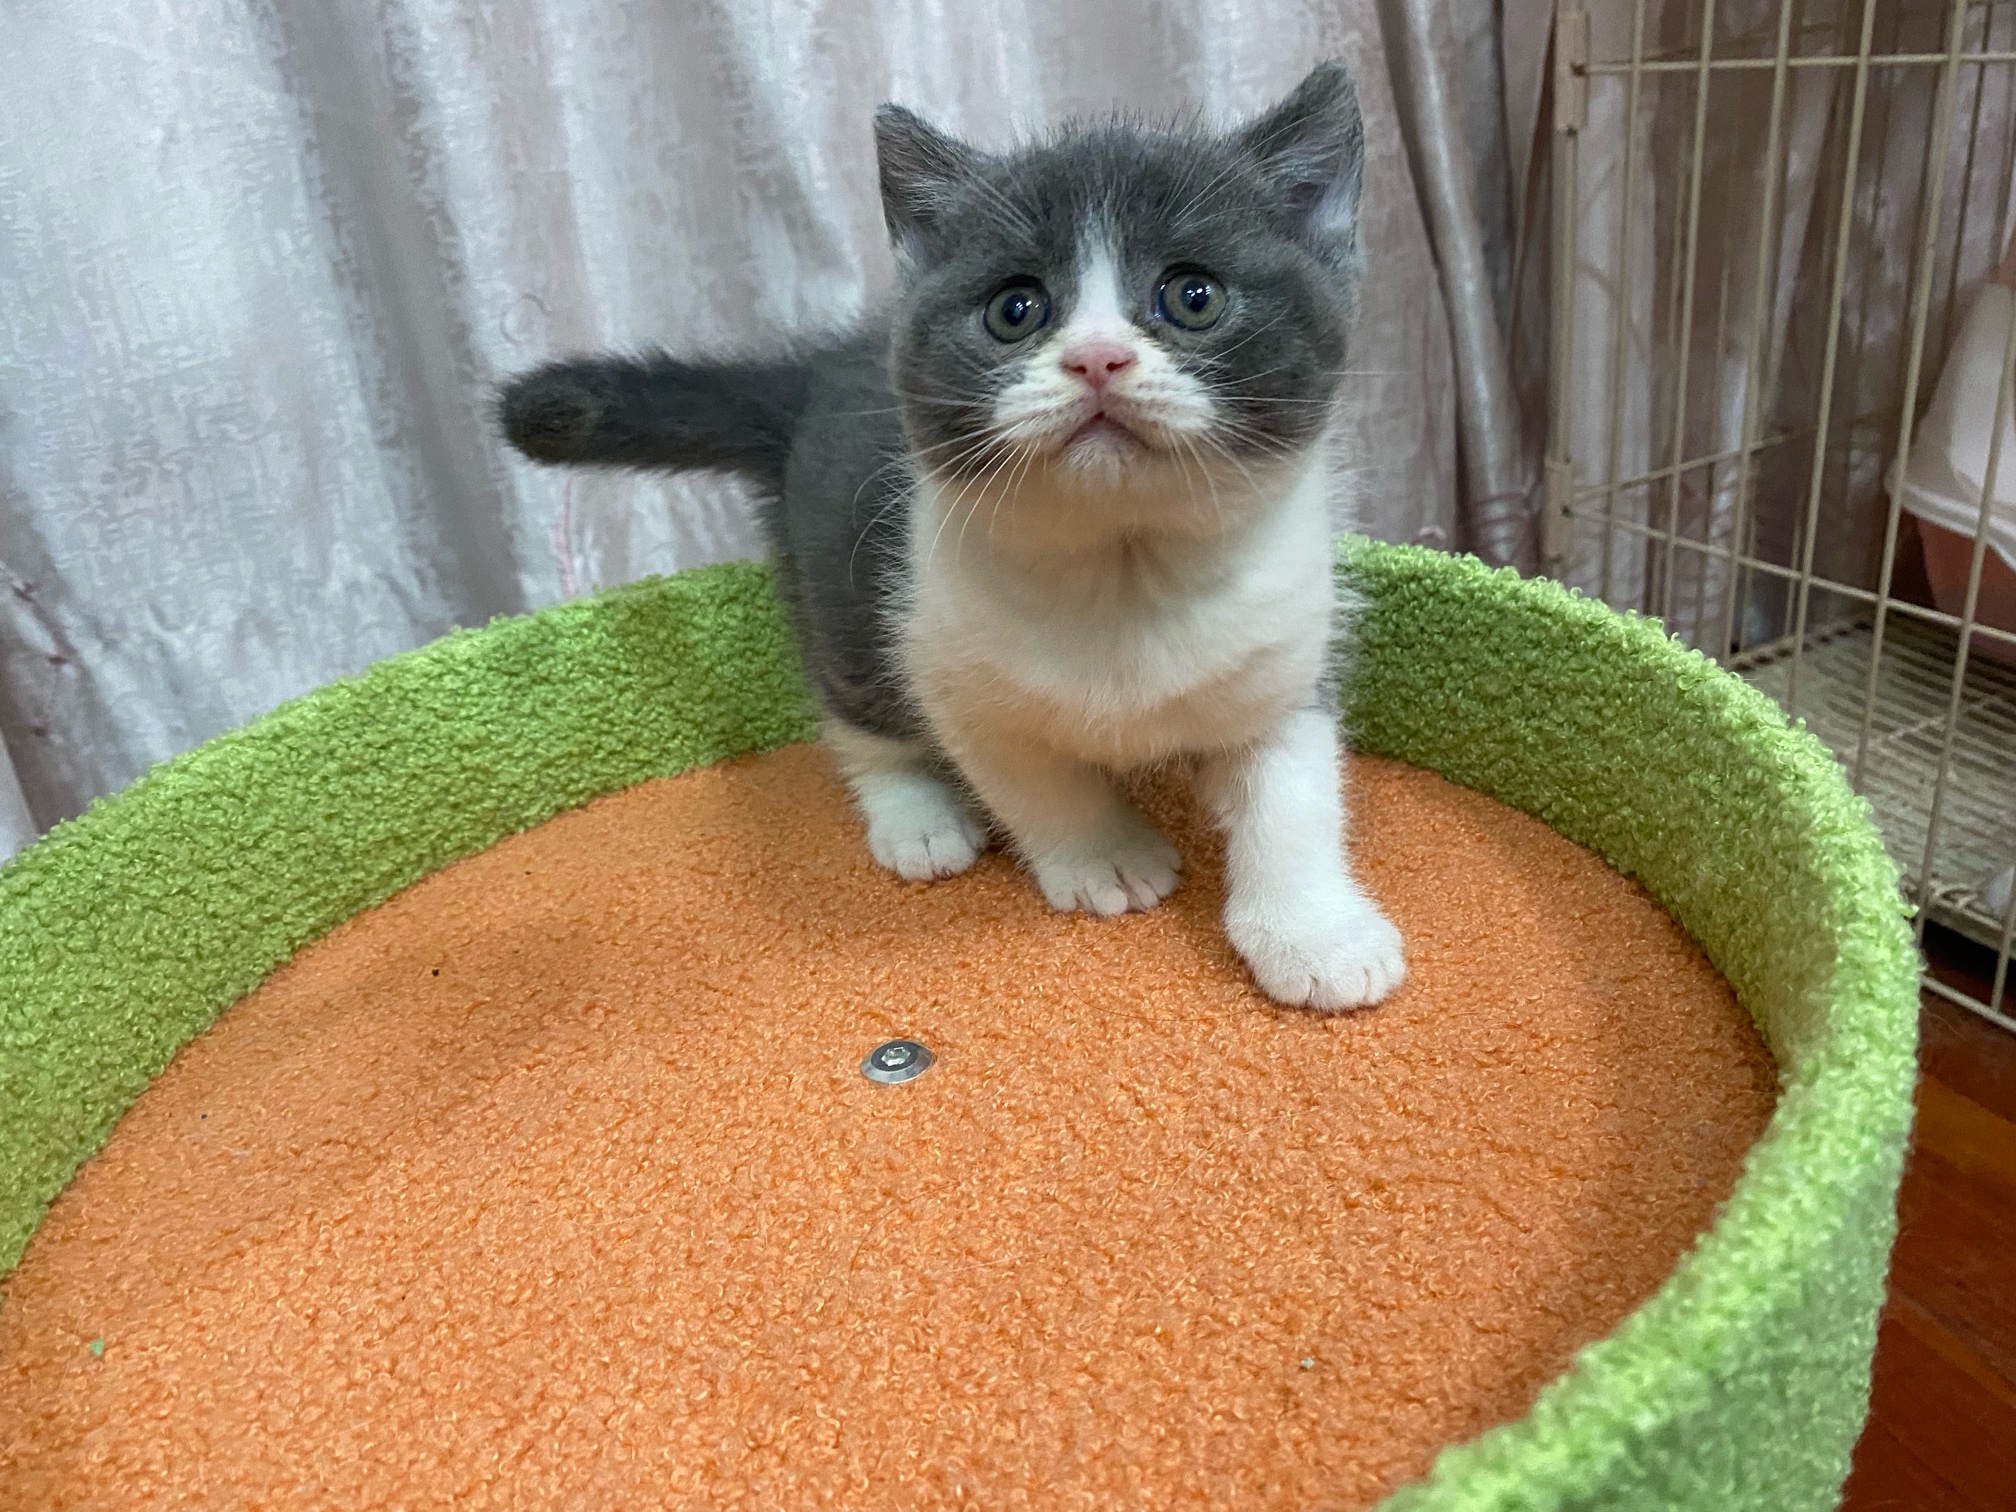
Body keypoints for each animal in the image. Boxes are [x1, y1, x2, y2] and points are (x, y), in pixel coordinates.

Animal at [498, 61, 1405, 1011]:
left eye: (1193, 296)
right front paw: (1107, 858)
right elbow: (1035, 782)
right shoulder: (951, 673)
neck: (1123, 563)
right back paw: (917, 816)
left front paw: (1315, 934)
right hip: (846, 584)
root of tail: (812, 378)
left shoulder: (1287, 656)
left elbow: (1294, 797)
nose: (1097, 359)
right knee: (855, 709)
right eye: (1016, 310)